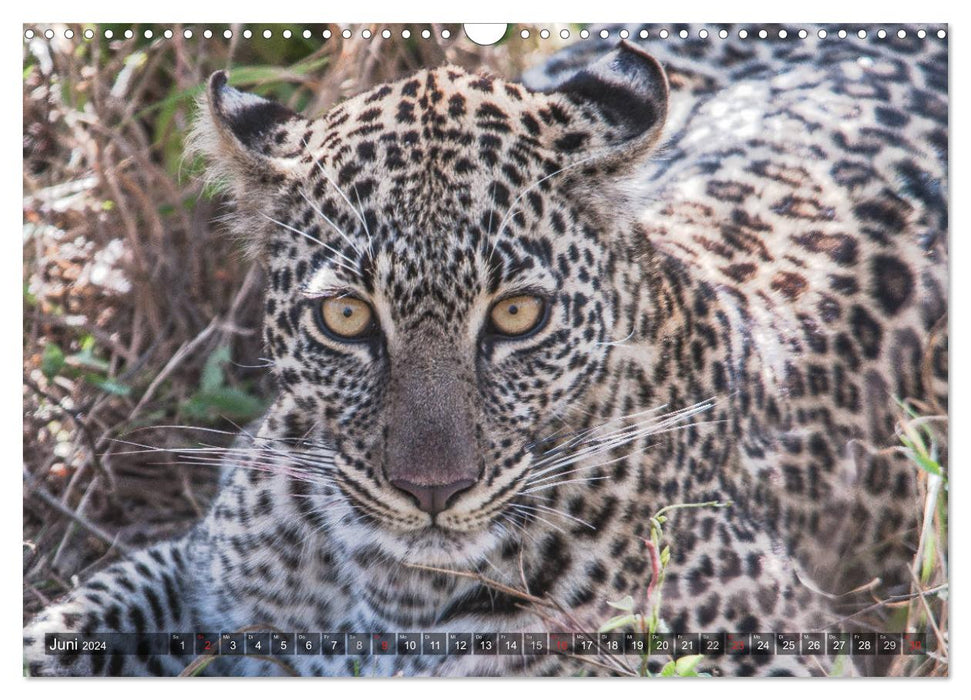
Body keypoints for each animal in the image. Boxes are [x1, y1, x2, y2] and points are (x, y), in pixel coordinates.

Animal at [24, 24, 948, 676]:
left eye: (515, 315)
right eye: (348, 318)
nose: (433, 491)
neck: (396, 595)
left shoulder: (771, 650)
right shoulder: (192, 572)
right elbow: (60, 629)